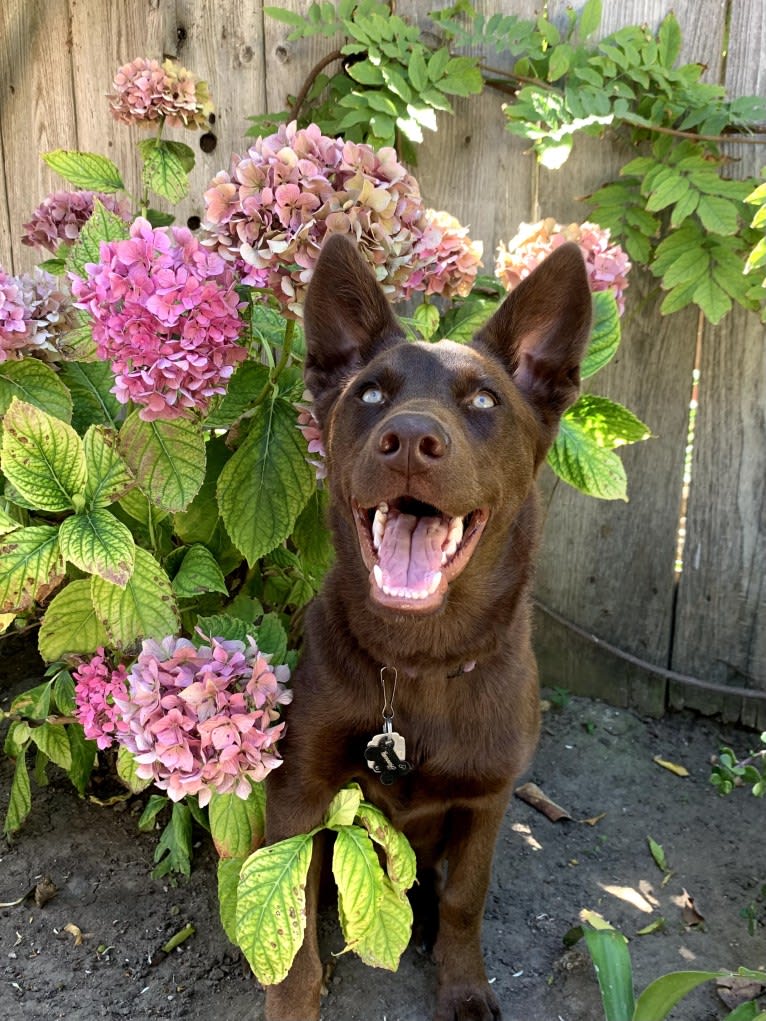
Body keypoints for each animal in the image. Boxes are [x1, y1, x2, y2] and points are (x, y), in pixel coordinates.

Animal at [265, 233, 592, 1021]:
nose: (410, 436)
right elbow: (292, 923)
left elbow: (467, 901)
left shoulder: (486, 799)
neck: (418, 662)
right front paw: (293, 1001)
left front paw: (465, 987)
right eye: (370, 394)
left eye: (484, 400)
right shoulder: (298, 793)